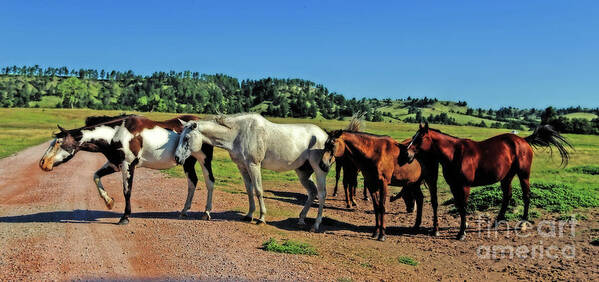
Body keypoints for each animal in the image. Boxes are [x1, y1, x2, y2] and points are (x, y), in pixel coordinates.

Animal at [38, 113, 216, 224]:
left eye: (59, 143)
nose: (43, 163)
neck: (117, 134)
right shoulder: (114, 164)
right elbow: (96, 176)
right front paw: (109, 201)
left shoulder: (128, 165)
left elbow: (127, 191)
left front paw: (125, 217)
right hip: (188, 162)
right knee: (192, 182)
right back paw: (184, 211)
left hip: (204, 160)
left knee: (209, 182)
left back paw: (206, 213)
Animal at [173, 113, 332, 232]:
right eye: (180, 137)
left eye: (186, 138)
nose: (177, 158)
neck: (238, 133)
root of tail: (324, 135)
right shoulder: (242, 167)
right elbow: (249, 190)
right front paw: (249, 215)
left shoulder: (254, 165)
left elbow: (258, 190)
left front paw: (261, 218)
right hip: (303, 172)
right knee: (312, 192)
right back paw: (301, 219)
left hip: (319, 170)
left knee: (322, 193)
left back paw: (316, 225)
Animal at [404, 122, 572, 239]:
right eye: (413, 137)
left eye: (420, 138)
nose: (407, 154)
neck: (455, 154)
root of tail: (523, 141)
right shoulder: (454, 185)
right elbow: (459, 206)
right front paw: (464, 226)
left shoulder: (464, 186)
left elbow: (463, 207)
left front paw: (462, 233)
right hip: (506, 177)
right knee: (507, 196)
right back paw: (497, 221)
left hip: (523, 175)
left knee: (526, 196)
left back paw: (523, 223)